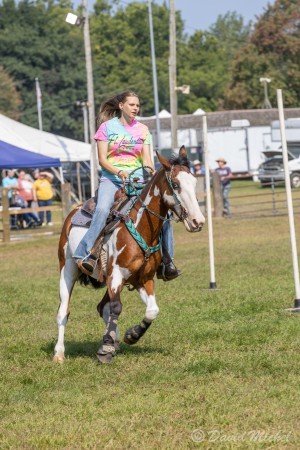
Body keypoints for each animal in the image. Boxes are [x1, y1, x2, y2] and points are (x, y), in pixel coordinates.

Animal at [52, 146, 205, 364]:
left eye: (193, 182)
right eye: (175, 184)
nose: (197, 221)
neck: (141, 227)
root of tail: (73, 212)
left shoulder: (143, 279)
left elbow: (152, 310)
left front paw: (131, 336)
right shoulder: (116, 275)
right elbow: (117, 308)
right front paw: (106, 349)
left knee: (102, 307)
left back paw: (113, 341)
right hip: (68, 270)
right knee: (64, 311)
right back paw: (59, 353)